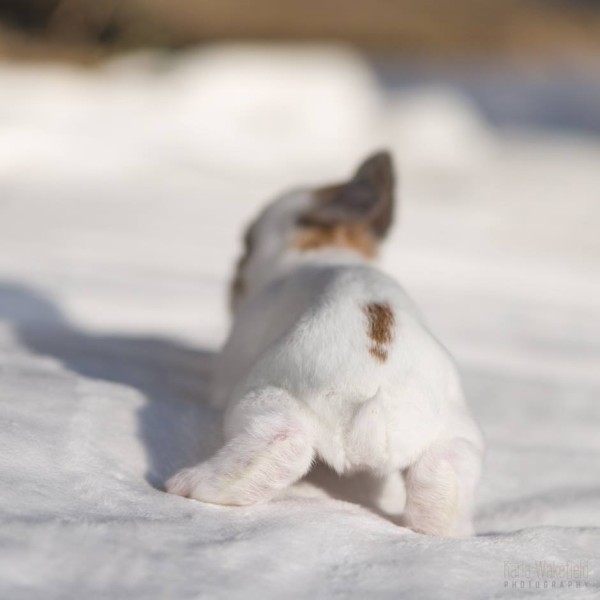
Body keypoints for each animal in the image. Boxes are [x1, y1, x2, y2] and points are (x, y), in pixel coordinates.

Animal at [166, 152, 486, 536]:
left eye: (247, 244)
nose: (235, 278)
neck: (328, 249)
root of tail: (376, 409)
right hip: (457, 438)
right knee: (441, 474)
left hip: (266, 402)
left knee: (283, 443)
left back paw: (188, 485)